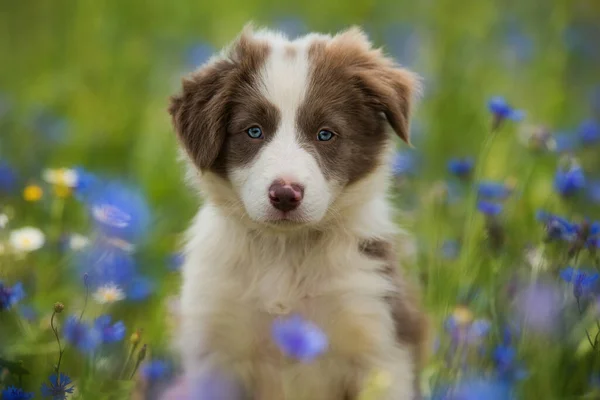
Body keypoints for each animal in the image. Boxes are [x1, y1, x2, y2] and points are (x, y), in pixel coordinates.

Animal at [169, 25, 428, 400]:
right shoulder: (216, 347)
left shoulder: (380, 342)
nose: (285, 194)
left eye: (325, 134)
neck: (284, 252)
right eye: (254, 131)